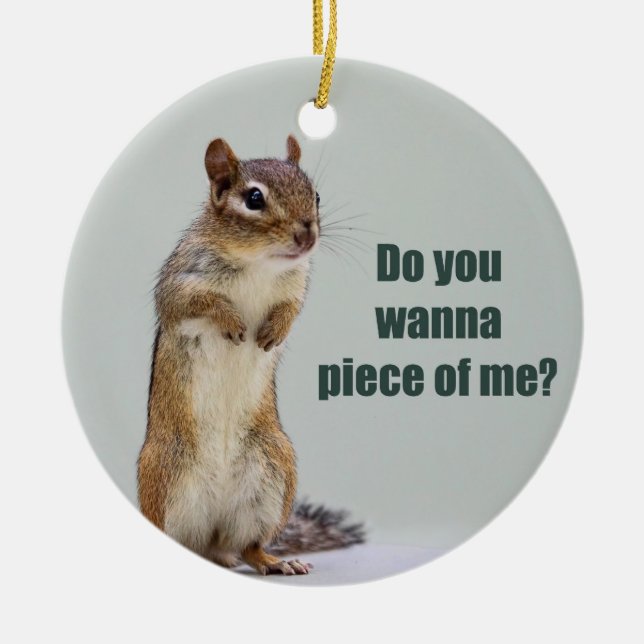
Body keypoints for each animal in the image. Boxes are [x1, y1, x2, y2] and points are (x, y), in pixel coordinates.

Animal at [137, 135, 363, 575]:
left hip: (272, 472)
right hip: (163, 472)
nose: (307, 235)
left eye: (315, 194)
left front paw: (274, 330)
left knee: (247, 546)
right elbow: (194, 302)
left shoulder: (296, 287)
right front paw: (231, 320)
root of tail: (209, 543)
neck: (258, 263)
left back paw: (275, 561)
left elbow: (291, 310)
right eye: (254, 198)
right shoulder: (181, 279)